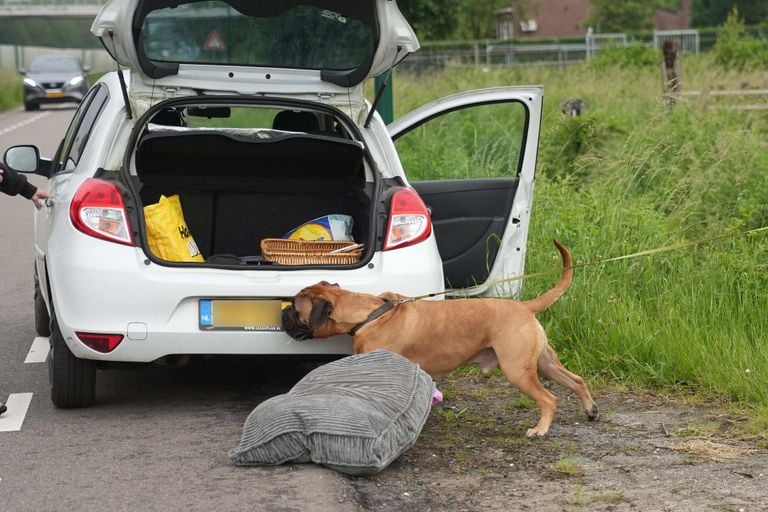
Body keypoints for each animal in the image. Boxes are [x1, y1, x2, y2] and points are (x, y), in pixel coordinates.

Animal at [280, 240, 596, 436]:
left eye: (295, 309)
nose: (282, 314)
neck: (368, 313)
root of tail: (525, 307)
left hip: (518, 370)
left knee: (549, 399)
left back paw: (540, 429)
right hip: (544, 363)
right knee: (577, 381)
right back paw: (591, 410)